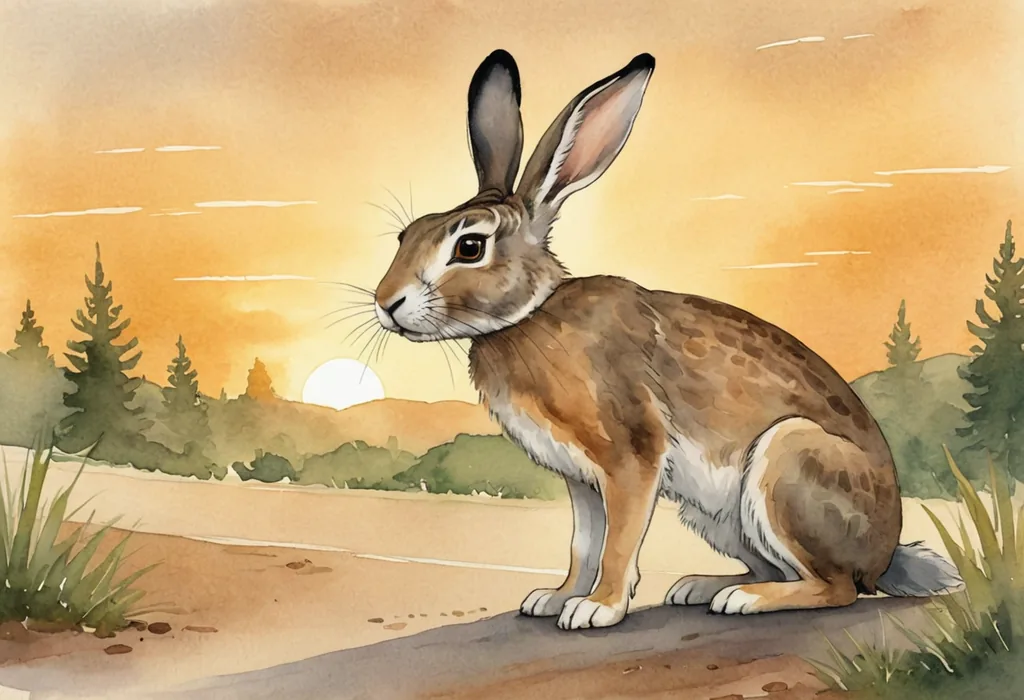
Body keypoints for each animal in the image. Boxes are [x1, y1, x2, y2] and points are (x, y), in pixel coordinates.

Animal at [371, 49, 963, 630]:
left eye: (469, 247)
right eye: (407, 234)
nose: (386, 303)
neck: (528, 315)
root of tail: (884, 556)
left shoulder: (631, 457)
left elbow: (618, 542)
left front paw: (596, 609)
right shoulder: (581, 481)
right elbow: (582, 544)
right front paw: (554, 599)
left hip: (786, 468)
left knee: (837, 587)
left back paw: (744, 600)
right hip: (716, 516)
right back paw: (702, 587)